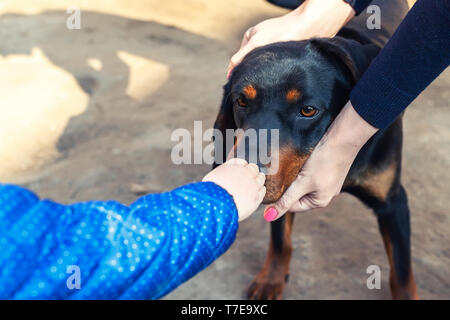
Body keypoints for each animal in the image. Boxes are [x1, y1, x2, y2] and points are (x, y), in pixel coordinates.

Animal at [212, 0, 418, 300]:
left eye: (308, 110)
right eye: (241, 101)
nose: (245, 172)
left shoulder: (394, 202)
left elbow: (401, 275)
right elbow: (280, 240)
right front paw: (271, 278)